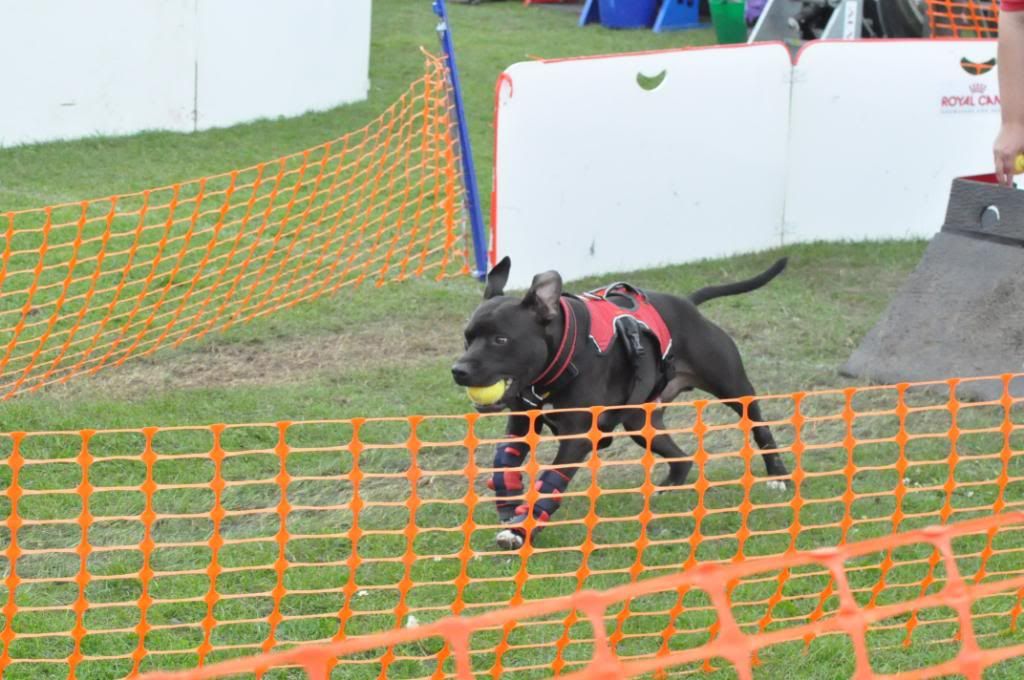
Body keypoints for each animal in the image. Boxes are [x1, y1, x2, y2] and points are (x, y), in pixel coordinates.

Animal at [450, 258, 790, 548]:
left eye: (501, 340)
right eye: (467, 337)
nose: (458, 370)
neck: (562, 353)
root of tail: (689, 304)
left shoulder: (576, 436)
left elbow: (549, 482)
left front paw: (522, 530)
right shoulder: (522, 420)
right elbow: (503, 461)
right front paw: (509, 505)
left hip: (733, 388)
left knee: (760, 426)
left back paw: (778, 476)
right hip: (640, 422)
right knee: (681, 457)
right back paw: (668, 487)